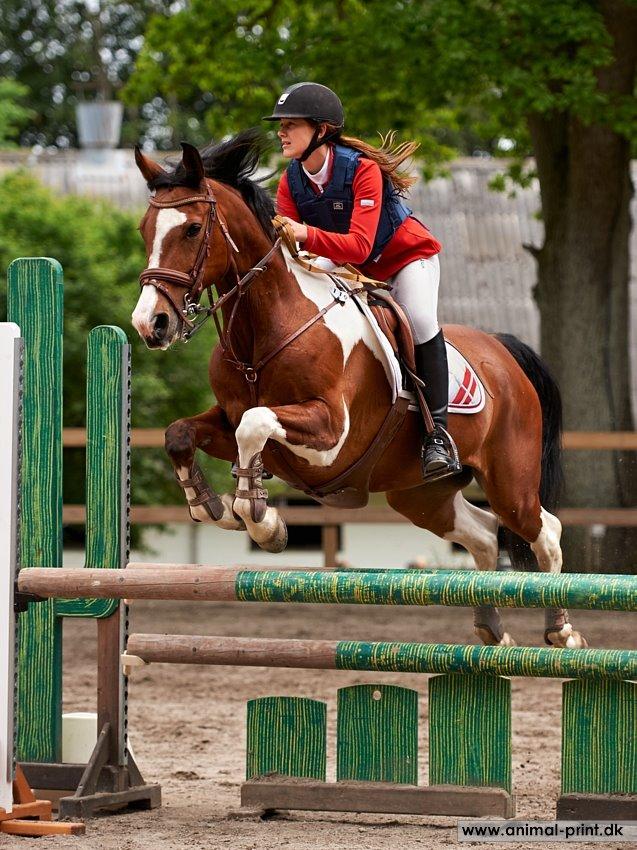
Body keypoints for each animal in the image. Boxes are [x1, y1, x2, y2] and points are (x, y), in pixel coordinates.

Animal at [130, 129, 588, 648]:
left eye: (191, 230)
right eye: (145, 230)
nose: (150, 324)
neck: (265, 329)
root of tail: (504, 352)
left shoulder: (331, 434)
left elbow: (256, 424)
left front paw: (261, 521)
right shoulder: (227, 422)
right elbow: (181, 434)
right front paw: (212, 506)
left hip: (510, 479)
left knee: (543, 530)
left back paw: (562, 631)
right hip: (418, 494)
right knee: (484, 534)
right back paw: (491, 630)